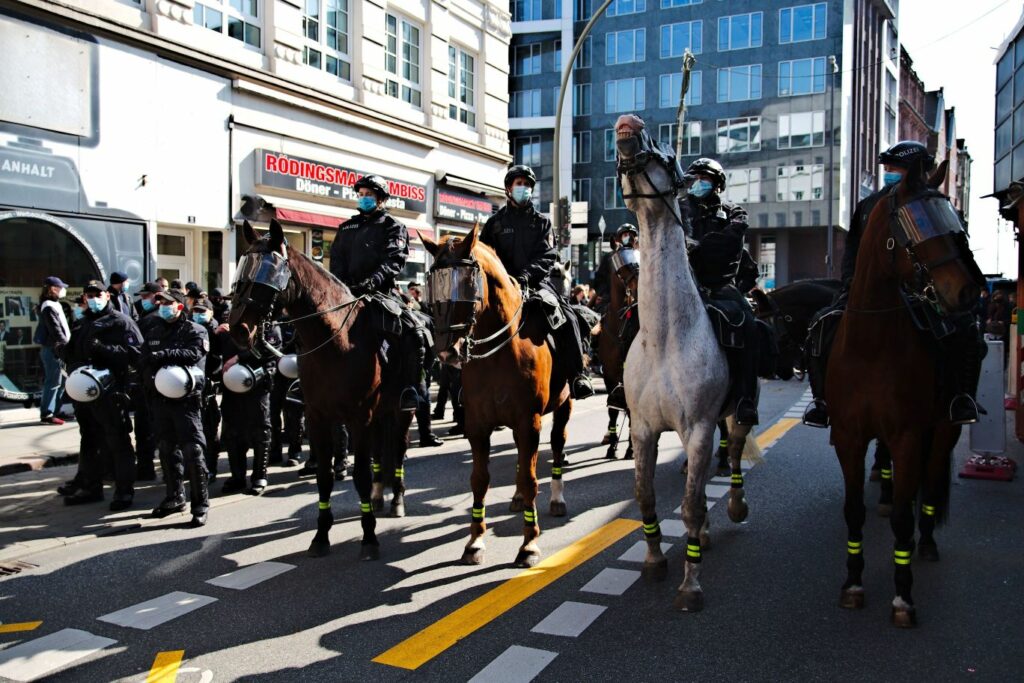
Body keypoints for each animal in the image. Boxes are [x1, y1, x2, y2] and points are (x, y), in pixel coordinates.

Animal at [230, 219, 413, 561]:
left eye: (269, 274)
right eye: (242, 271)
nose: (237, 329)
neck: (333, 340)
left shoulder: (359, 416)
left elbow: (359, 475)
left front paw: (369, 537)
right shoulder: (317, 416)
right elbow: (325, 477)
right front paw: (321, 536)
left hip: (403, 409)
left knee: (398, 450)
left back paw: (396, 500)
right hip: (380, 413)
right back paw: (379, 496)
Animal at [419, 227, 573, 569]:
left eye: (467, 281)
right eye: (434, 280)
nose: (446, 352)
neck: (499, 352)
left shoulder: (529, 422)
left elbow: (531, 479)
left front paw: (529, 544)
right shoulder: (478, 425)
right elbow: (479, 479)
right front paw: (475, 541)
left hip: (563, 406)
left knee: (557, 446)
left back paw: (557, 498)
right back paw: (516, 498)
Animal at [614, 114, 753, 610]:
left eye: (668, 151)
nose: (627, 123)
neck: (667, 340)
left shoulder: (697, 428)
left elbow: (691, 506)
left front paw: (691, 583)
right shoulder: (644, 429)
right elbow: (645, 496)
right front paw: (655, 560)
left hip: (733, 416)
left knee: (733, 456)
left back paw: (734, 507)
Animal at [823, 158, 983, 626]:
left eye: (956, 223)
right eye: (920, 223)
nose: (969, 292)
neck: (872, 346)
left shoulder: (909, 437)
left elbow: (899, 516)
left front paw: (902, 594)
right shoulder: (849, 437)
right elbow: (853, 511)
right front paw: (853, 582)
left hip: (945, 427)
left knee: (928, 484)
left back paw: (924, 542)